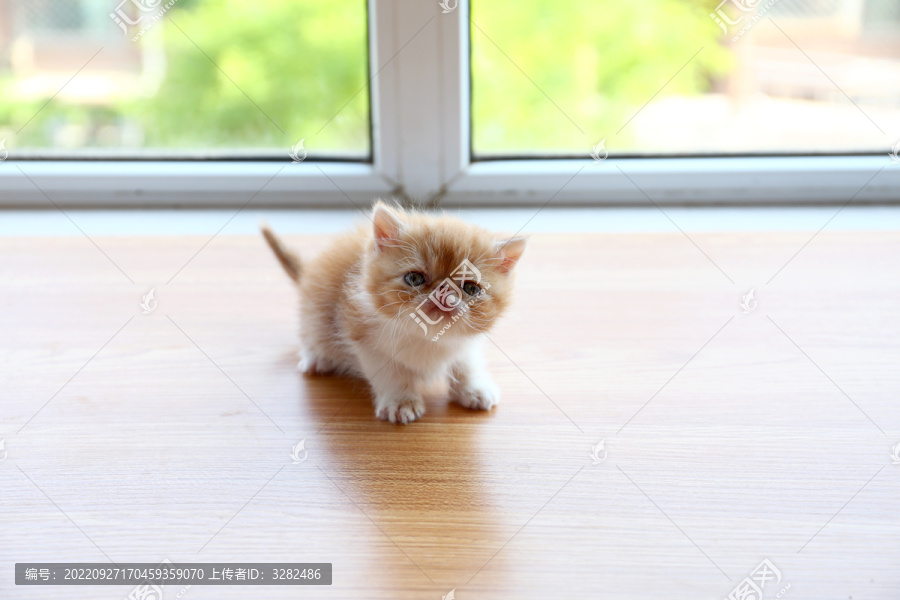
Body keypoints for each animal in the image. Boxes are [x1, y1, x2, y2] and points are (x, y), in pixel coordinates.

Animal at [260, 200, 528, 422]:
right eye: (414, 278)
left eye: (471, 288)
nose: (444, 295)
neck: (427, 338)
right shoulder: (365, 339)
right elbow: (390, 373)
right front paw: (400, 402)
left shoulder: (465, 342)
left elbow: (466, 362)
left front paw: (474, 388)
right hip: (314, 309)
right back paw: (318, 358)